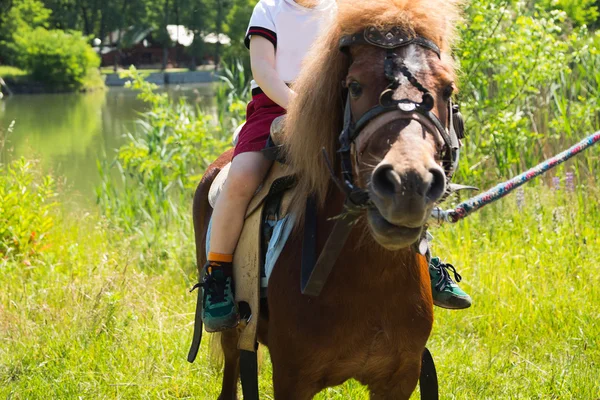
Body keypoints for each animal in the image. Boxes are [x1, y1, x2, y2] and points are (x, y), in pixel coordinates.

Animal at [195, 0, 462, 396]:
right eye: (354, 86)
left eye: (446, 89)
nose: (408, 184)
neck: (370, 277)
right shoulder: (291, 378)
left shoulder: (399, 378)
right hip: (233, 330)